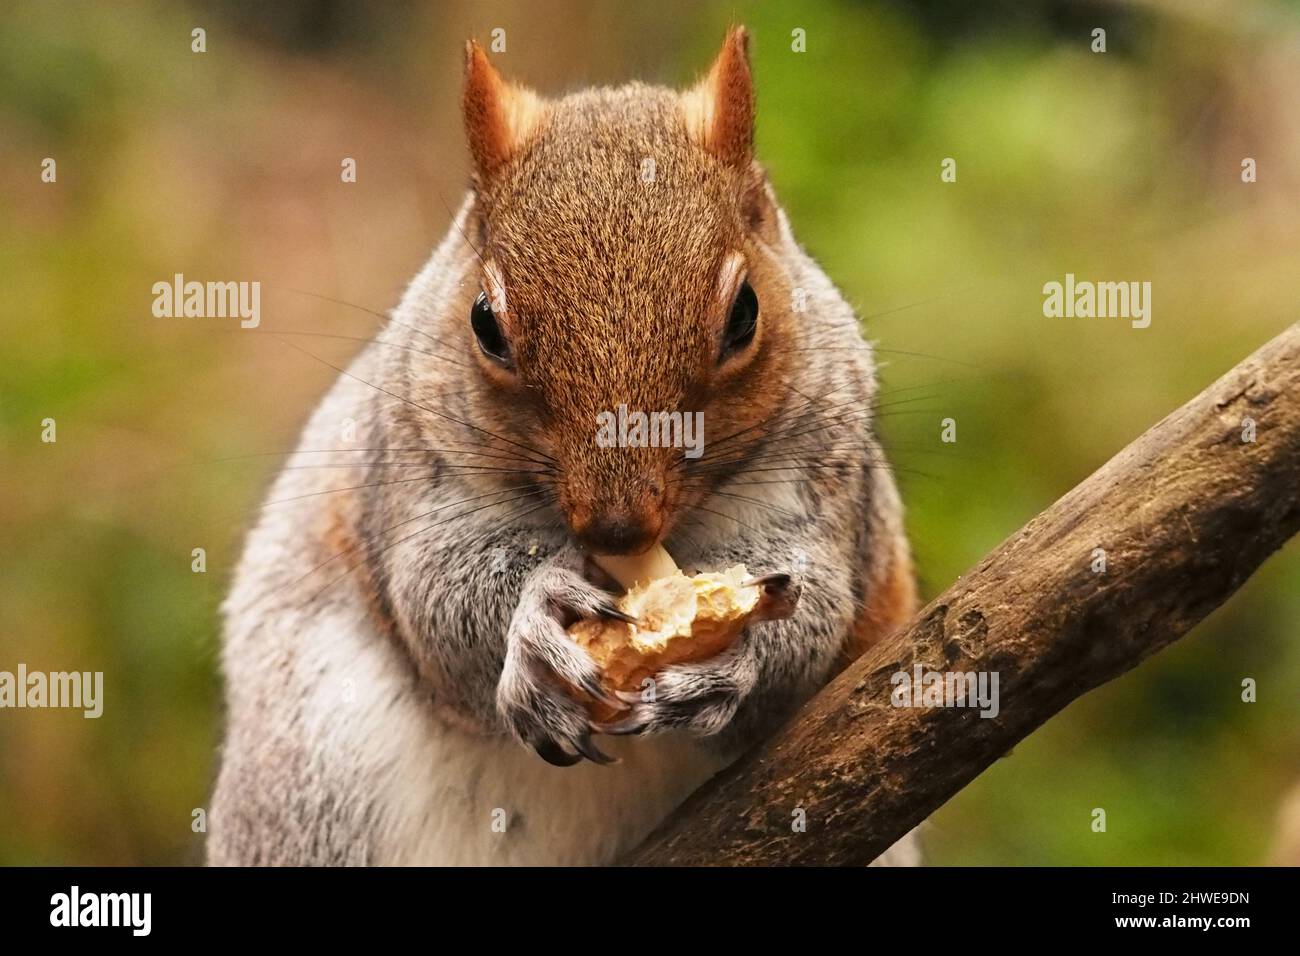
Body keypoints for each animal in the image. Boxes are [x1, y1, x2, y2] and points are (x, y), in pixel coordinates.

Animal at [208, 27, 918, 866]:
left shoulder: (830, 478)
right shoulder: (412, 466)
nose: (616, 528)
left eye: (745, 314)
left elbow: (814, 609)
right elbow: (435, 596)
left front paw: (731, 663)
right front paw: (536, 615)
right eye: (485, 324)